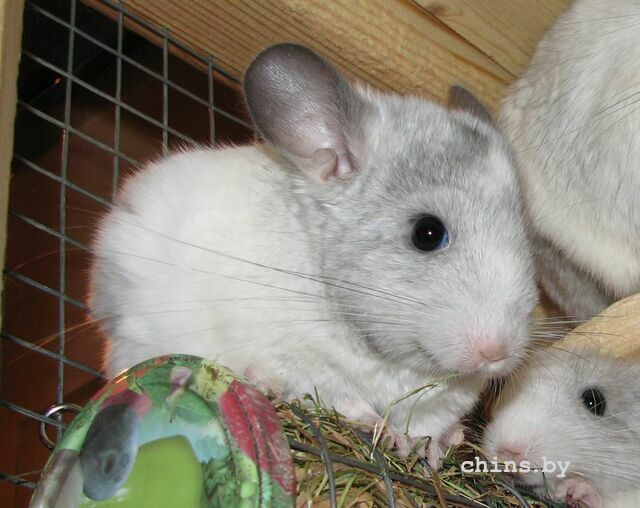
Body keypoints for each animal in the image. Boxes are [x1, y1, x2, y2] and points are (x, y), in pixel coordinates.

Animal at [90, 43, 538, 464]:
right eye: (427, 233)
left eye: (527, 239)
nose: (497, 353)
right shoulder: (304, 365)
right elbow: (347, 402)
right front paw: (387, 433)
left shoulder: (444, 400)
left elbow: (426, 424)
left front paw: (430, 448)